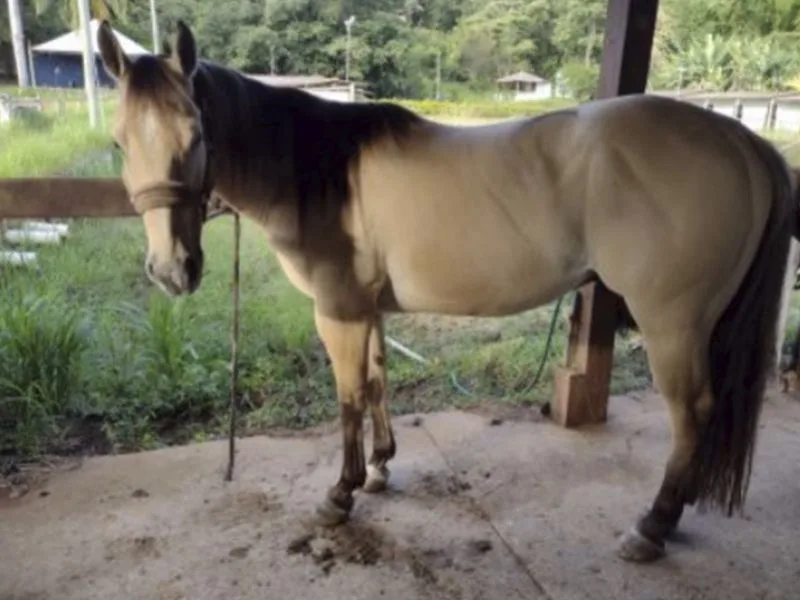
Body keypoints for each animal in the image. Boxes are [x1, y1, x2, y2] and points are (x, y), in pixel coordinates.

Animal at [97, 20, 799, 564]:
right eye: (118, 141)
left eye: (196, 135)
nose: (173, 269)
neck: (317, 169)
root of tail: (742, 142)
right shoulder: (368, 309)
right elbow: (379, 381)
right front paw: (381, 468)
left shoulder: (338, 311)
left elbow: (348, 398)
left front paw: (340, 494)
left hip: (673, 325)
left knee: (693, 413)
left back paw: (652, 526)